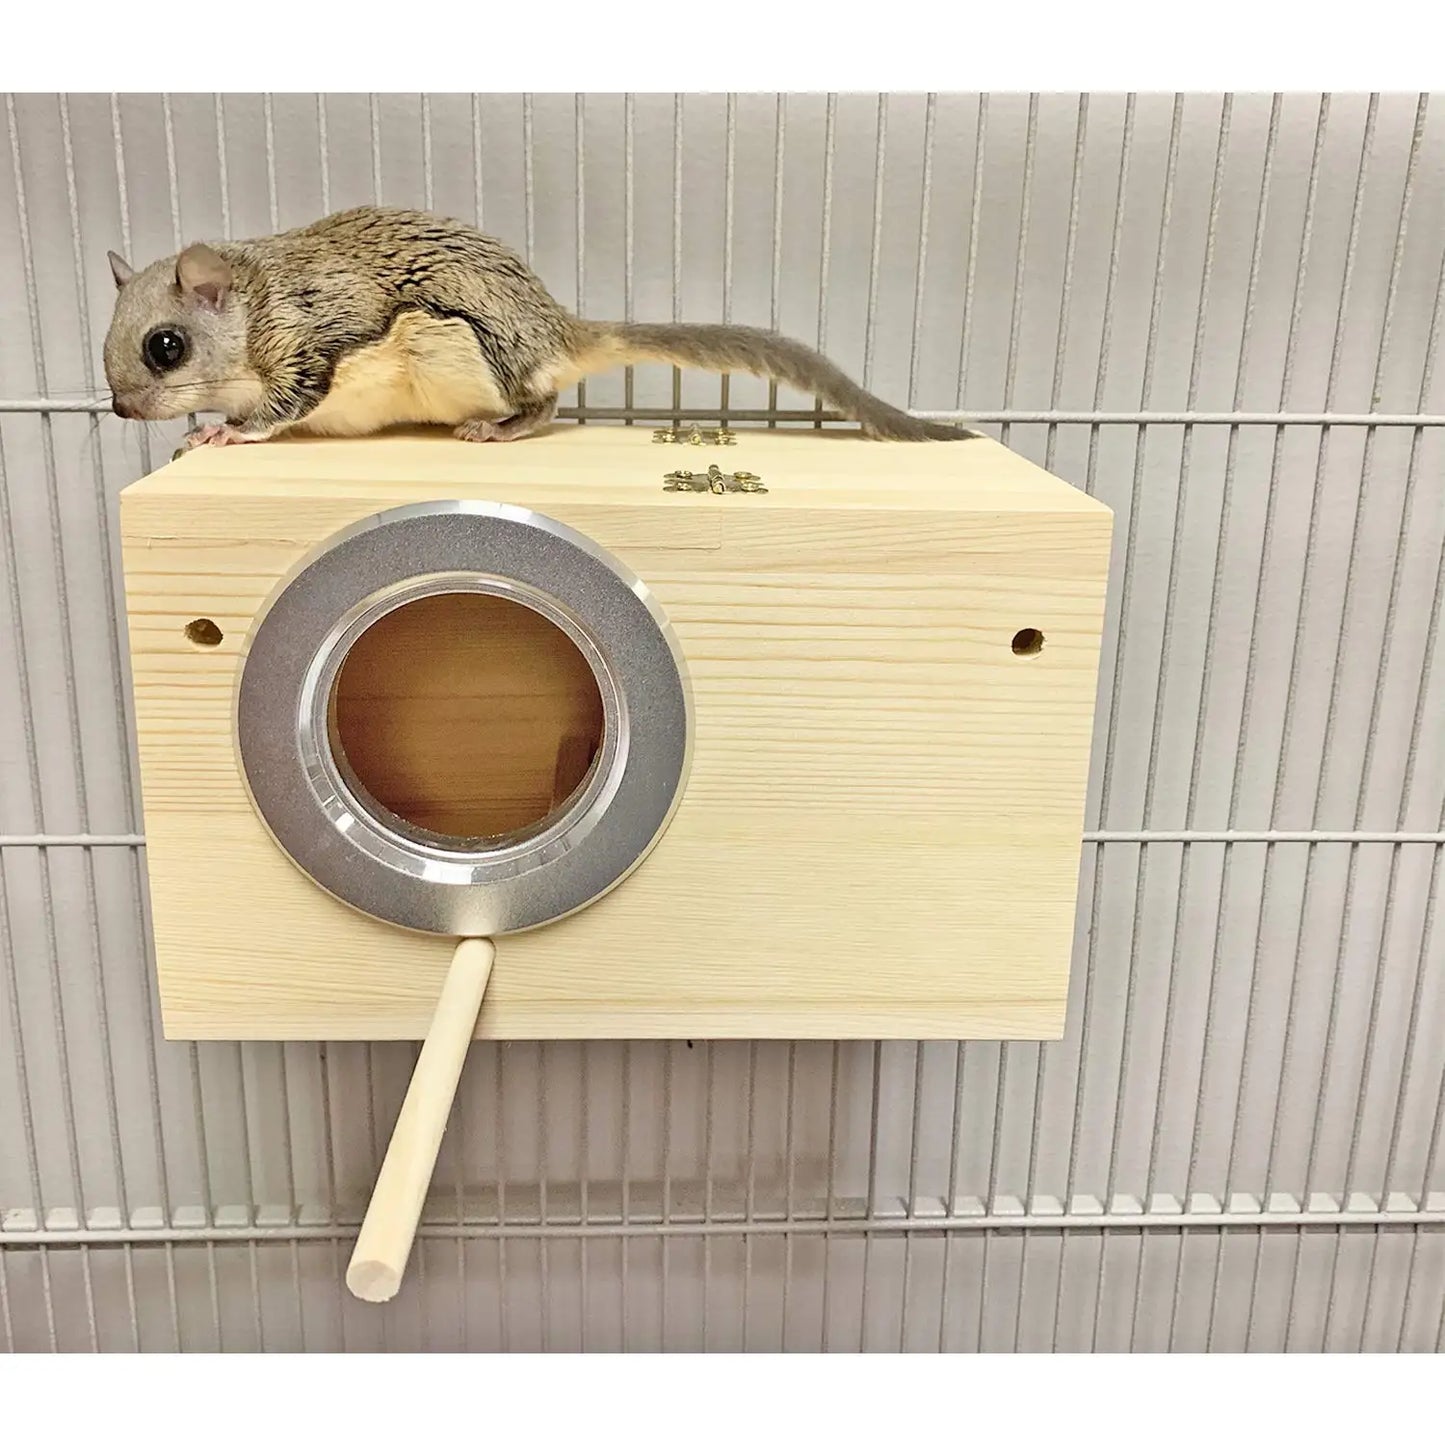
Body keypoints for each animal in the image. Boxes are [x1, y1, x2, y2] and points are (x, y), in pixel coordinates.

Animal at [102, 206, 982, 450]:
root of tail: (560, 330)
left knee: (545, 403)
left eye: (165, 346)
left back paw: (499, 430)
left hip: (468, 349)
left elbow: (282, 407)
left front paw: (223, 431)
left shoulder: (312, 343)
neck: (257, 302)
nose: (117, 408)